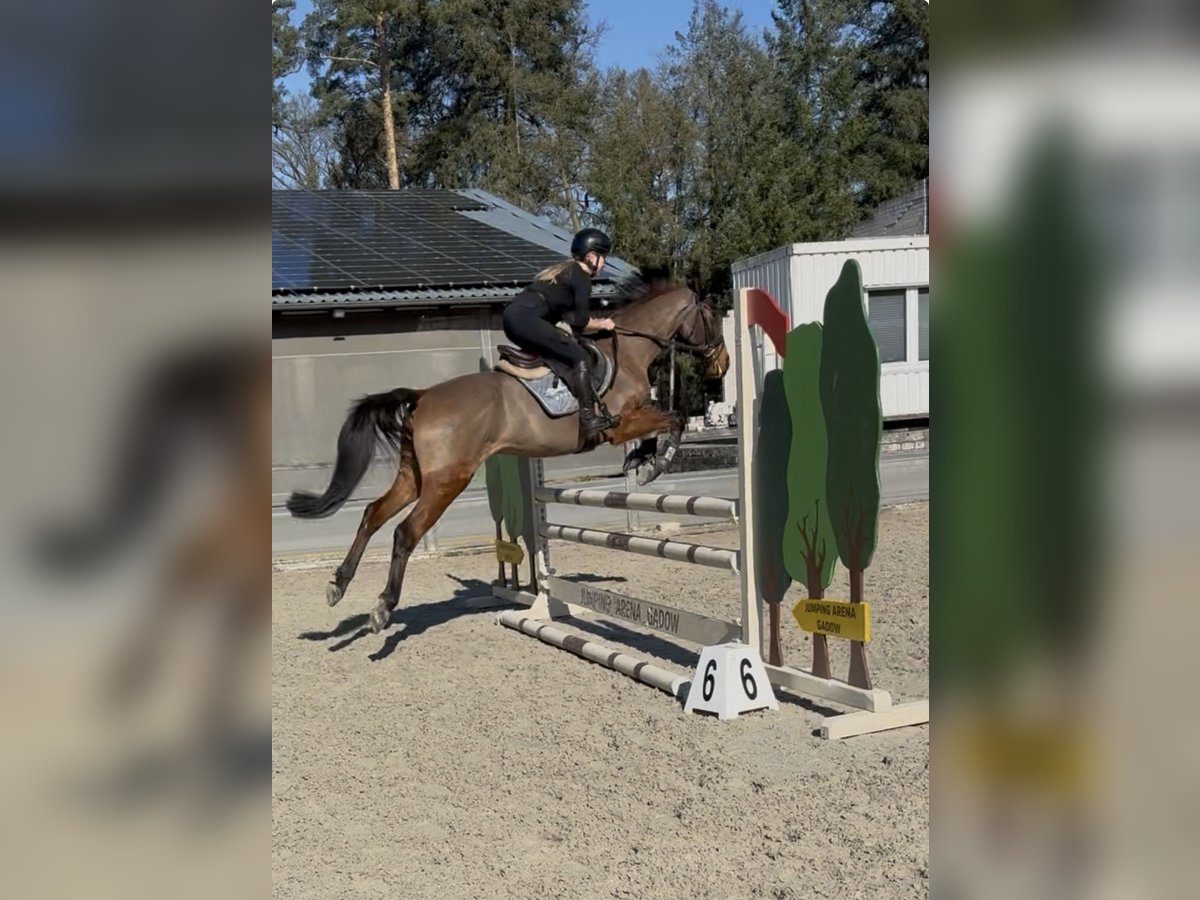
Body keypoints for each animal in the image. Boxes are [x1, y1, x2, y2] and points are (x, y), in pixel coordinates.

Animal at [286, 279, 730, 633]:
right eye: (712, 316)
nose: (722, 364)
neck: (630, 349)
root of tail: (423, 397)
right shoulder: (620, 424)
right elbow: (673, 420)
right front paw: (655, 462)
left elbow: (664, 423)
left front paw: (642, 461)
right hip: (448, 480)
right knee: (404, 532)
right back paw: (382, 607)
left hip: (415, 477)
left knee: (371, 515)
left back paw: (338, 584)